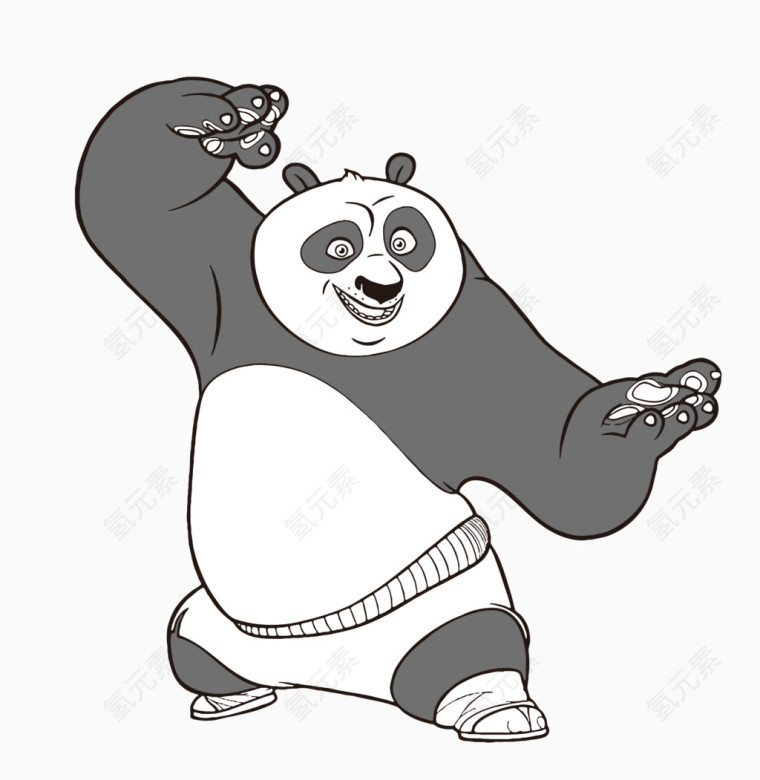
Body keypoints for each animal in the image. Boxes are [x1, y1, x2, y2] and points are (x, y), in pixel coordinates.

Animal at [76, 77, 720, 741]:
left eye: (406, 242)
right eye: (337, 247)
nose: (381, 287)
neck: (362, 347)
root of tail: (326, 674)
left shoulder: (480, 352)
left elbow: (557, 468)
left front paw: (646, 420)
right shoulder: (228, 288)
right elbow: (136, 214)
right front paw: (226, 112)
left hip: (444, 604)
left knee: (470, 647)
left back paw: (498, 712)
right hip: (225, 627)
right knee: (190, 641)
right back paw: (230, 697)